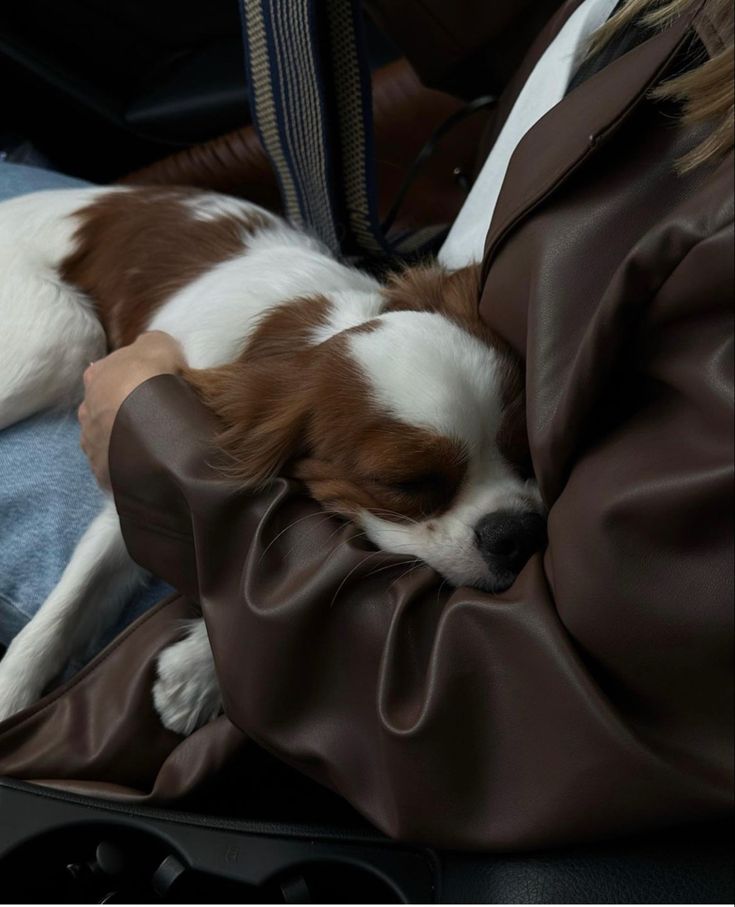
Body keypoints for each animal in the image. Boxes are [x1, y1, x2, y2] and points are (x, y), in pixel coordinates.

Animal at [0, 188, 548, 736]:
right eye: (409, 484)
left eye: (524, 450)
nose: (517, 531)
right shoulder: (136, 466)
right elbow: (69, 602)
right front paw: (11, 690)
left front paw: (199, 670)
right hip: (64, 338)